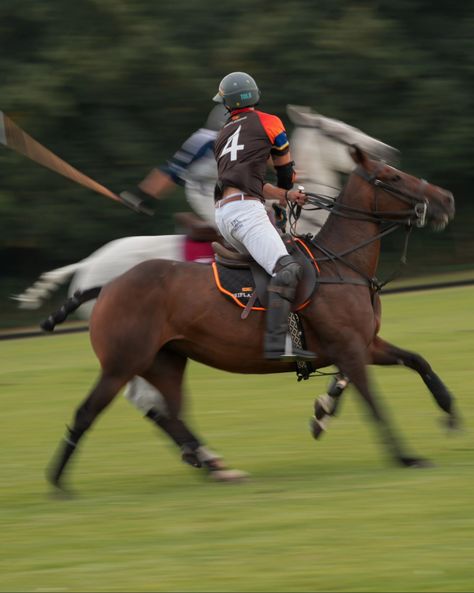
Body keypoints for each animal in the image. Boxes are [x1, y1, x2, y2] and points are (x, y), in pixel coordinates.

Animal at [47, 146, 456, 488]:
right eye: (392, 176)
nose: (446, 199)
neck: (342, 263)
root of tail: (104, 284)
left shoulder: (365, 345)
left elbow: (418, 361)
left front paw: (450, 414)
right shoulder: (351, 349)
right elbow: (375, 405)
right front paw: (407, 457)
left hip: (166, 361)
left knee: (169, 413)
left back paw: (214, 465)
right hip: (122, 362)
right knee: (92, 411)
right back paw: (58, 482)